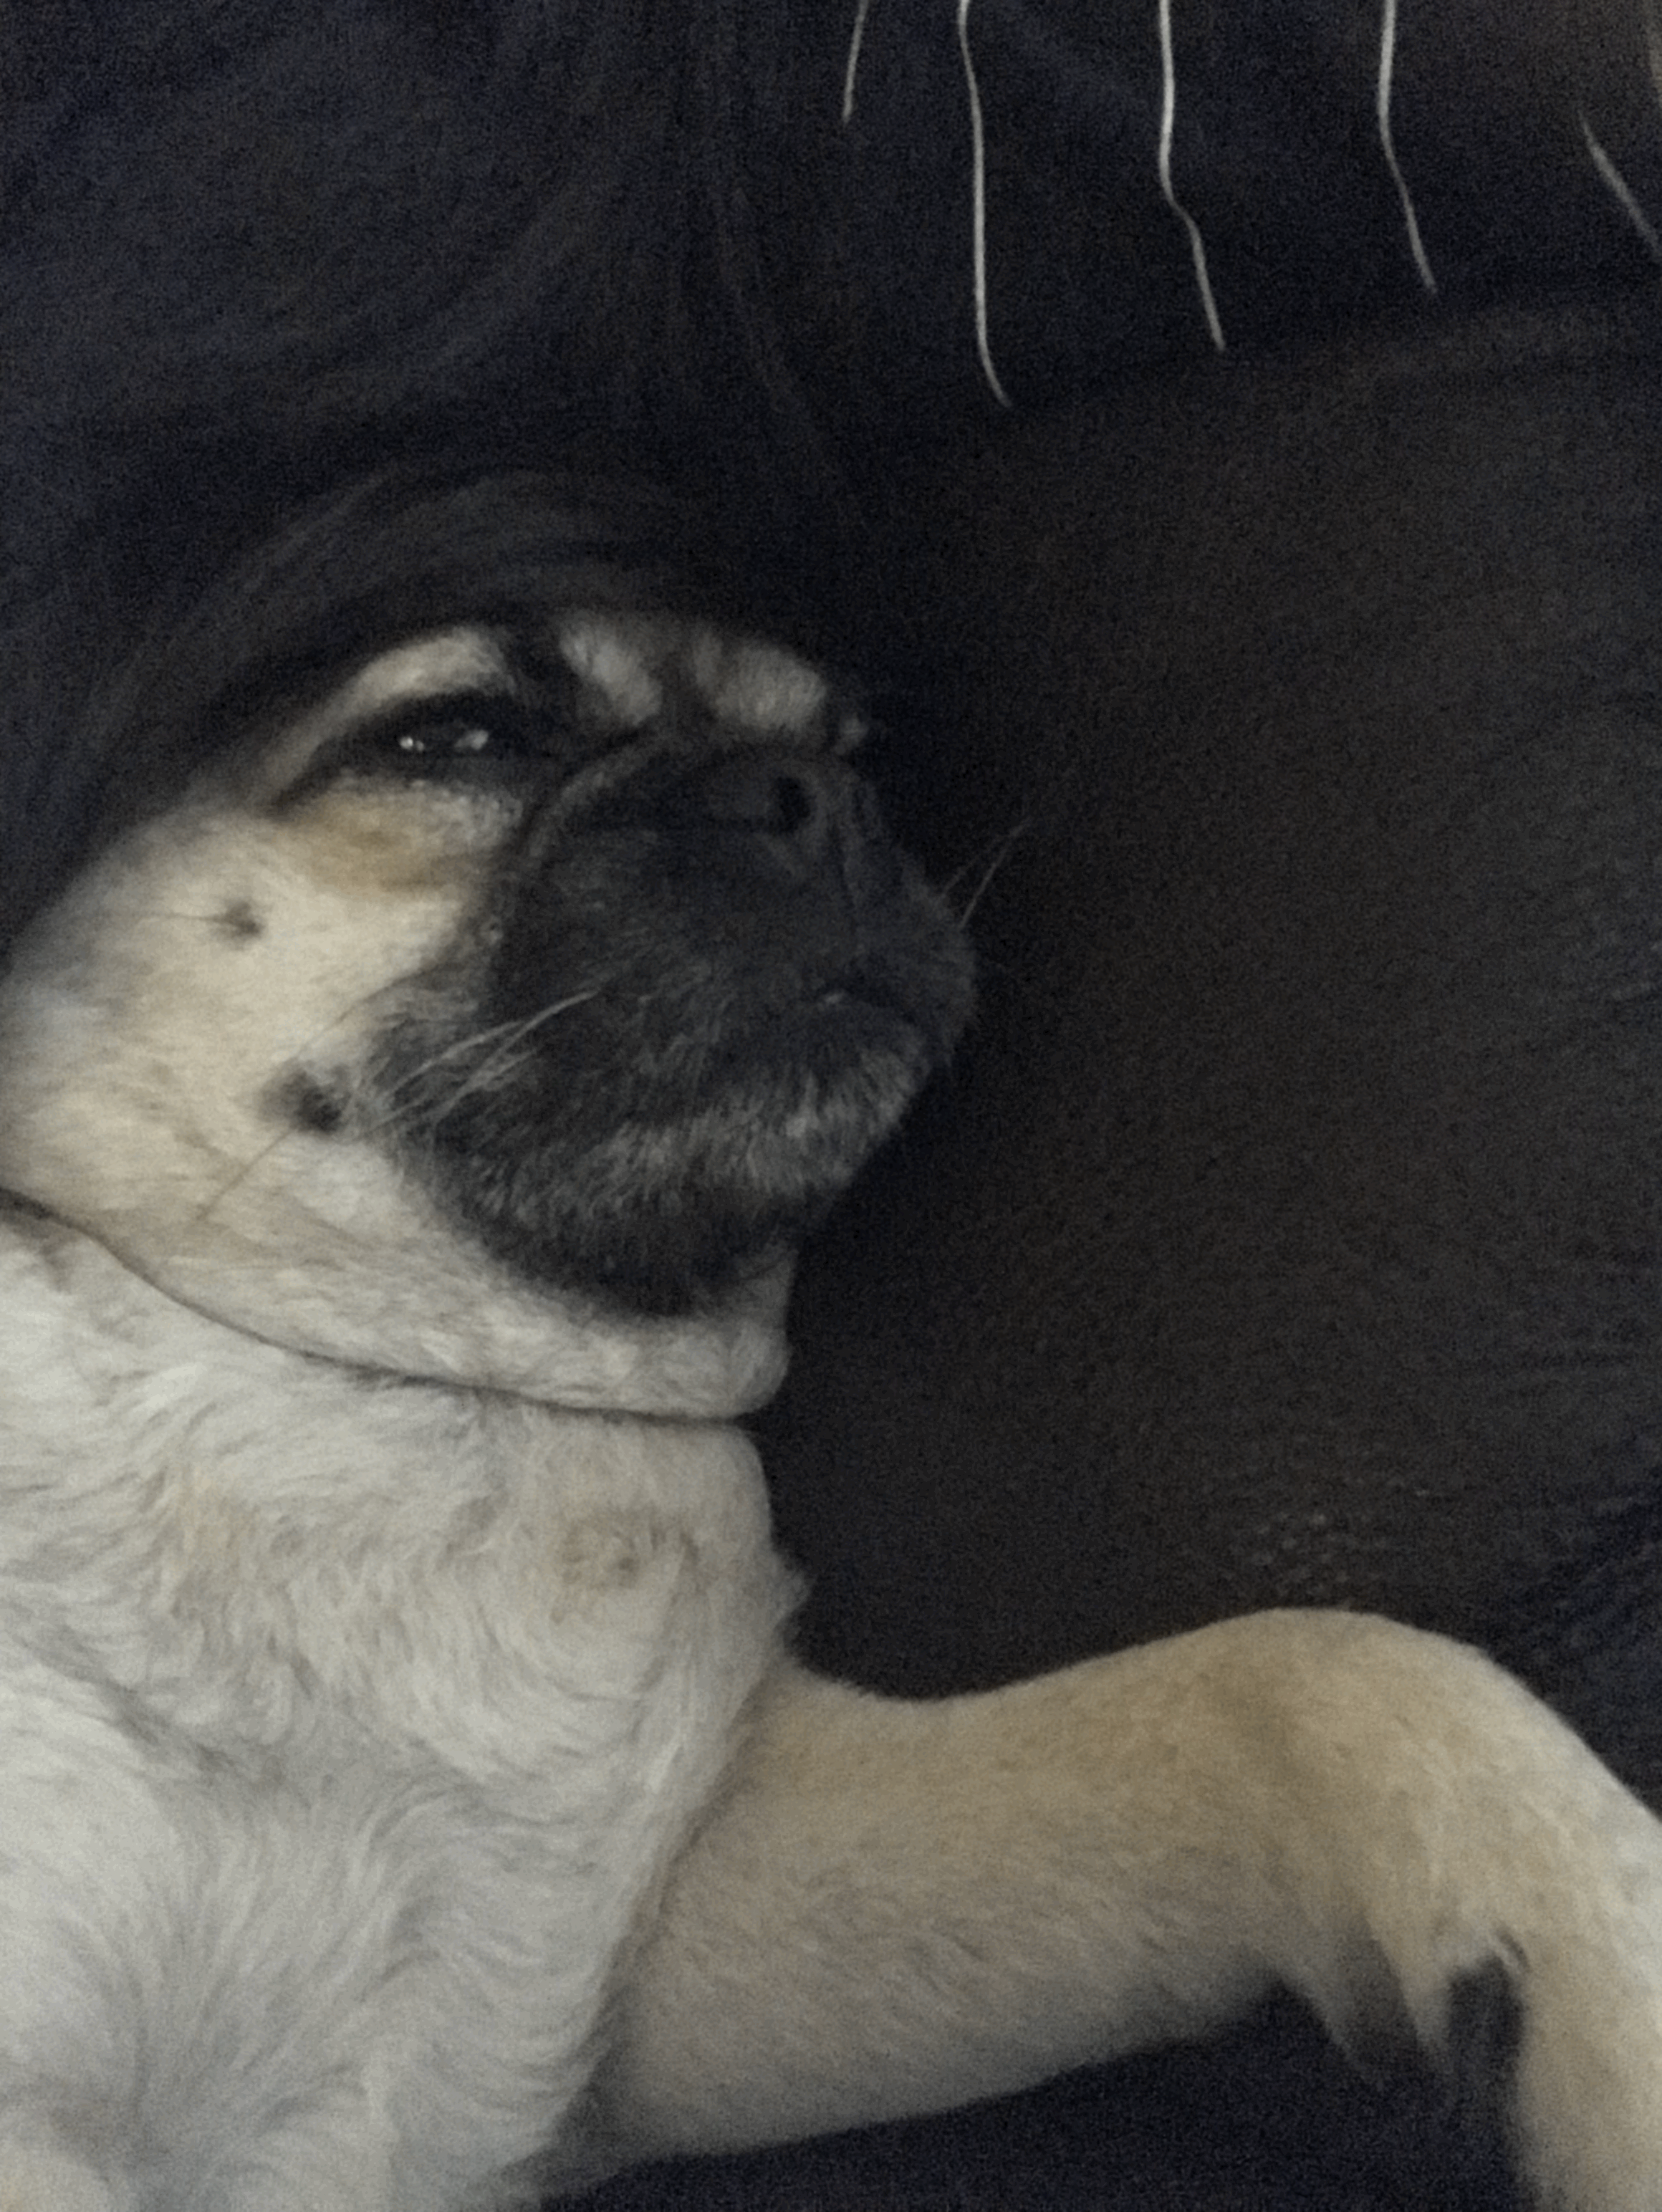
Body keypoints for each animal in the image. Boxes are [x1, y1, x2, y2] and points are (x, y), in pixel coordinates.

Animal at [0, 458, 1661, 2212]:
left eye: (856, 751)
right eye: (455, 736)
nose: (810, 796)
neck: (390, 1383)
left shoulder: (660, 1954)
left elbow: (1307, 1673)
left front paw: (1608, 2002)